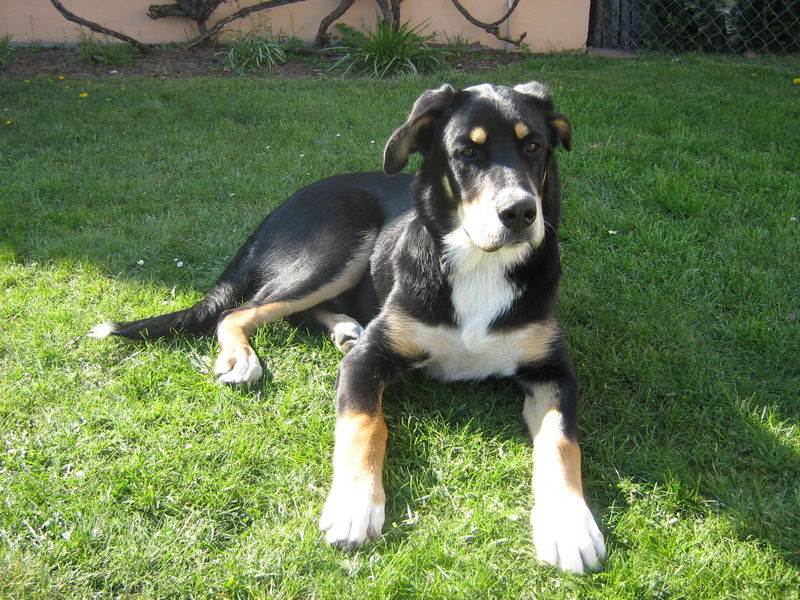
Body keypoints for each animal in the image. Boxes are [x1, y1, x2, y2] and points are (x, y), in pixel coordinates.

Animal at [90, 80, 606, 573]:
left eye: (534, 146)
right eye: (467, 152)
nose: (520, 213)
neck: (479, 263)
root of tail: (279, 209)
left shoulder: (552, 373)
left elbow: (561, 443)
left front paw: (570, 526)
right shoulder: (368, 361)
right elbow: (364, 426)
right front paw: (356, 505)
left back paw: (342, 327)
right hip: (341, 245)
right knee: (238, 311)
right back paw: (243, 356)